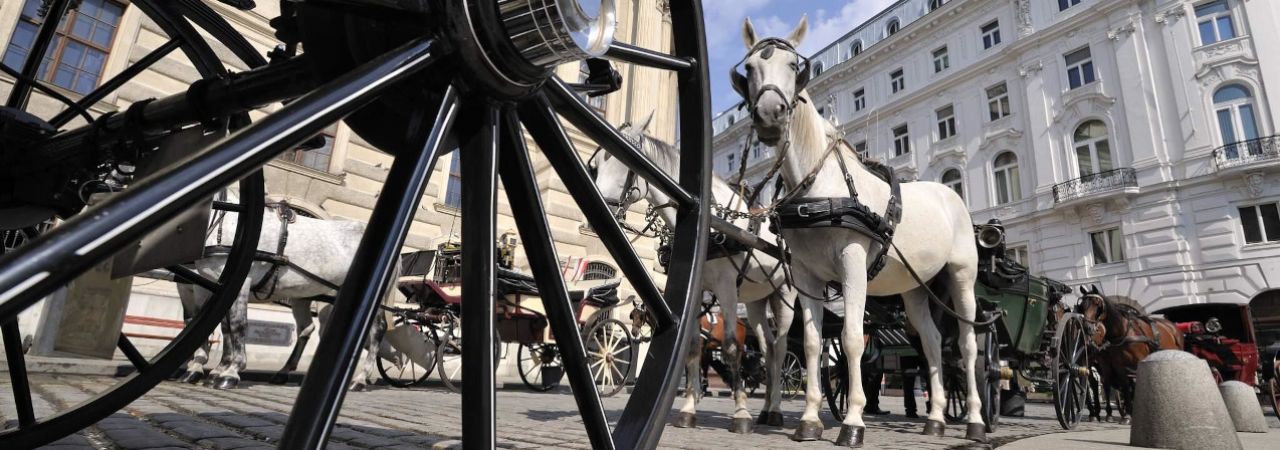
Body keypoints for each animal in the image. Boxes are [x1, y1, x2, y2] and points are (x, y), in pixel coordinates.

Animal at [177, 195, 391, 391]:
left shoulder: (238, 282)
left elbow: (237, 325)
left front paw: (230, 370)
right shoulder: (215, 285)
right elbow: (221, 325)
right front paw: (215, 368)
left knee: (377, 330)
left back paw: (361, 378)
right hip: (310, 296)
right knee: (309, 328)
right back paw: (286, 372)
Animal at [588, 111, 808, 432]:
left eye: (626, 161)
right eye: (596, 166)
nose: (597, 215)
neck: (712, 224)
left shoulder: (727, 288)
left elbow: (731, 348)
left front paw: (741, 412)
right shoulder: (697, 288)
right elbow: (691, 349)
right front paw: (688, 410)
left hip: (784, 297)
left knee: (780, 351)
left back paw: (777, 409)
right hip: (757, 301)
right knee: (768, 349)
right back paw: (767, 408)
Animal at [732, 18, 988, 447]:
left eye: (793, 65)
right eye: (749, 68)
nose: (770, 114)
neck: (821, 187)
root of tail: (949, 195)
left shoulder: (852, 264)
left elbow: (852, 339)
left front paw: (852, 421)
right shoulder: (806, 275)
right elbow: (815, 344)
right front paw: (809, 420)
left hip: (962, 276)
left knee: (968, 345)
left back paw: (975, 420)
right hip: (917, 288)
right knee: (933, 343)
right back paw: (935, 418)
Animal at [1075, 286, 1182, 424]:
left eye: (1097, 304)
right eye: (1082, 305)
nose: (1087, 328)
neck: (1124, 332)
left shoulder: (1139, 361)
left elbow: (1135, 385)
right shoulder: (1118, 366)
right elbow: (1124, 385)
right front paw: (1127, 415)